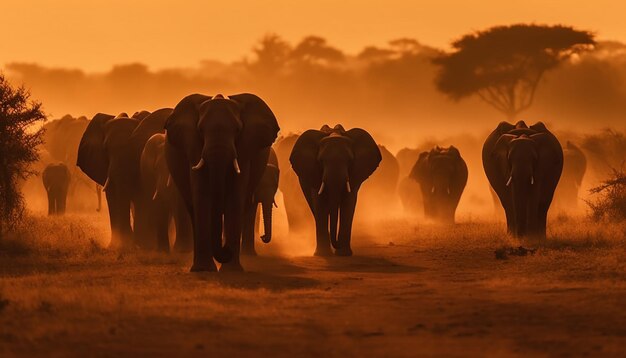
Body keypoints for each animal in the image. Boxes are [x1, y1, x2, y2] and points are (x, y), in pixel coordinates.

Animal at [163, 93, 278, 272]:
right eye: (200, 130)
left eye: (237, 130)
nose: (263, 237)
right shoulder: (194, 148)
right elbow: (202, 194)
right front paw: (204, 270)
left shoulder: (244, 151)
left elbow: (235, 196)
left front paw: (232, 271)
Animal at [288, 124, 380, 256]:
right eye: (321, 161)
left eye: (349, 161)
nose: (337, 244)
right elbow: (320, 203)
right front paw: (323, 254)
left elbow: (348, 203)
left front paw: (344, 254)